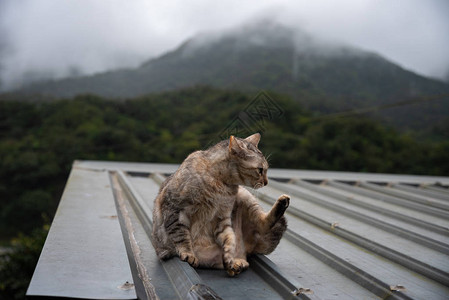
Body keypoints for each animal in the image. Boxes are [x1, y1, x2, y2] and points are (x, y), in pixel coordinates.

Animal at [152, 134, 288, 276]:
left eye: (266, 169)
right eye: (260, 170)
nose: (266, 182)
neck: (221, 184)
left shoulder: (222, 218)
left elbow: (229, 240)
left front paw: (230, 259)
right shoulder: (175, 209)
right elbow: (181, 235)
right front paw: (188, 253)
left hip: (246, 197)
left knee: (262, 226)